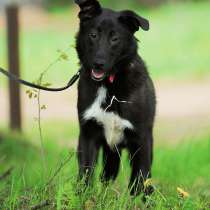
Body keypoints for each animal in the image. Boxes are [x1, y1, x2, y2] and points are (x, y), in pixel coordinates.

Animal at [74, 0, 155, 197]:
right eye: (93, 35)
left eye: (115, 39)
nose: (98, 64)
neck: (109, 84)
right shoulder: (87, 134)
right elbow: (85, 173)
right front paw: (83, 199)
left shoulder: (142, 138)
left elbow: (140, 177)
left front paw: (140, 201)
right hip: (111, 153)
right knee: (106, 176)